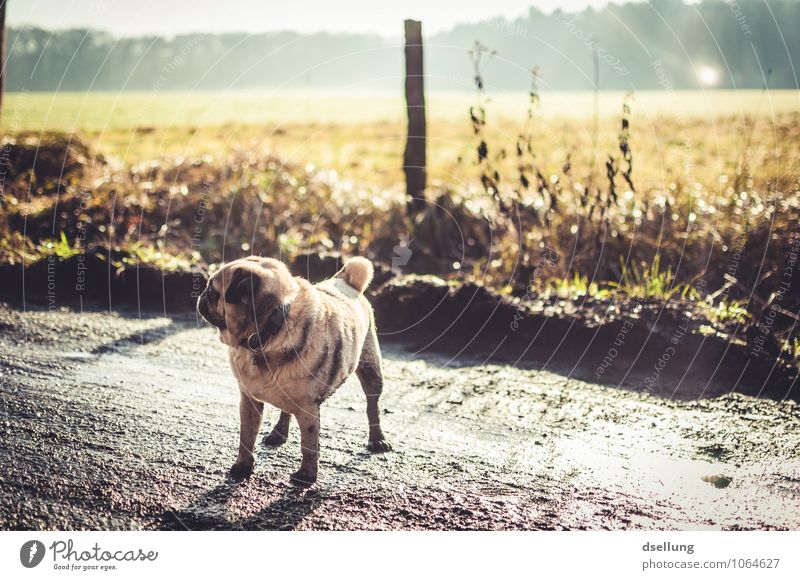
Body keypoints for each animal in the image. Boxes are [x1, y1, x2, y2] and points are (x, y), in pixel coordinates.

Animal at [197, 256, 390, 488]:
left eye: (212, 291)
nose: (201, 295)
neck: (267, 333)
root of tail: (346, 280)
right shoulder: (249, 400)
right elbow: (247, 436)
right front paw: (243, 466)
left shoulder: (308, 408)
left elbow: (309, 445)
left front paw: (306, 475)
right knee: (285, 410)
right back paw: (278, 433)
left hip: (371, 370)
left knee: (372, 407)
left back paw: (377, 439)